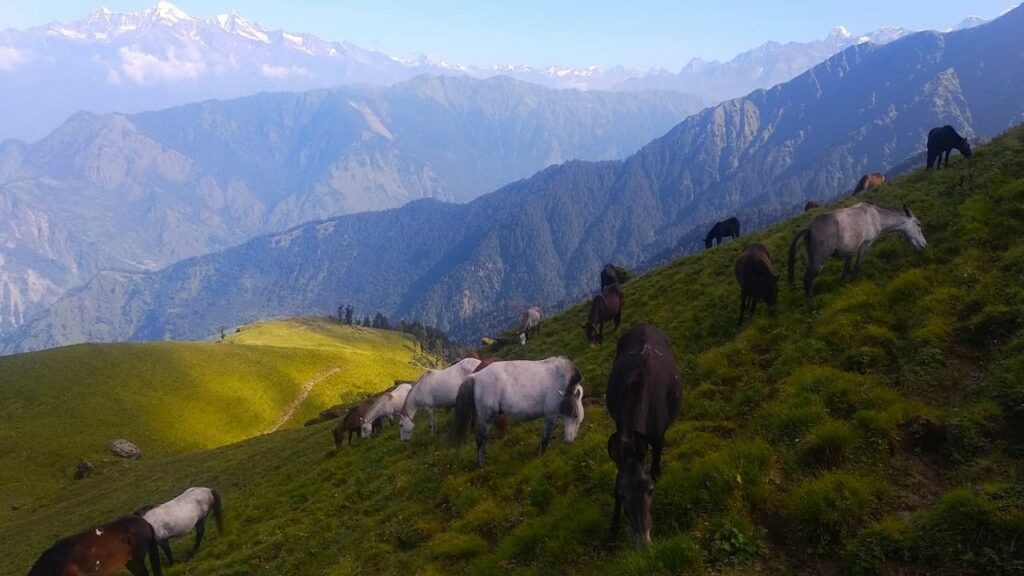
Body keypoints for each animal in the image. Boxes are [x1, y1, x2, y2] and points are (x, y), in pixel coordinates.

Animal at [454, 354, 589, 467]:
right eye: (575, 414)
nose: (569, 441)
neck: (559, 379)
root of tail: (476, 376)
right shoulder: (550, 415)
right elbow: (546, 437)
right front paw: (541, 454)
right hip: (487, 418)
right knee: (480, 439)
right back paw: (481, 464)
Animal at [602, 325, 684, 545]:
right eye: (622, 495)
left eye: (650, 490)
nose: (644, 542)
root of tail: (644, 324)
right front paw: (612, 532)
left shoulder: (658, 438)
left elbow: (654, 468)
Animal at [782, 201, 929, 293]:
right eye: (918, 225)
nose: (924, 245)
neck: (876, 218)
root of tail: (809, 228)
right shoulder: (865, 245)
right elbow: (857, 266)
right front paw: (853, 283)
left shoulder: (850, 250)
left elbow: (846, 268)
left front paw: (843, 283)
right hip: (819, 262)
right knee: (808, 279)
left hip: (812, 259)